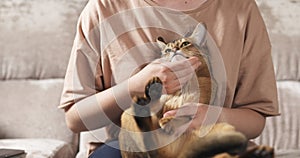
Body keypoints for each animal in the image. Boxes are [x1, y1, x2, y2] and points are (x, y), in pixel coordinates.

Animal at [118, 23, 274, 158]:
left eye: (184, 44)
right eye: (167, 50)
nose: (174, 50)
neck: (185, 85)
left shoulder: (200, 104)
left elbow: (182, 113)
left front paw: (168, 121)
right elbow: (159, 107)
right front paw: (155, 94)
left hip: (223, 129)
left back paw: (260, 153)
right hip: (127, 115)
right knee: (149, 149)